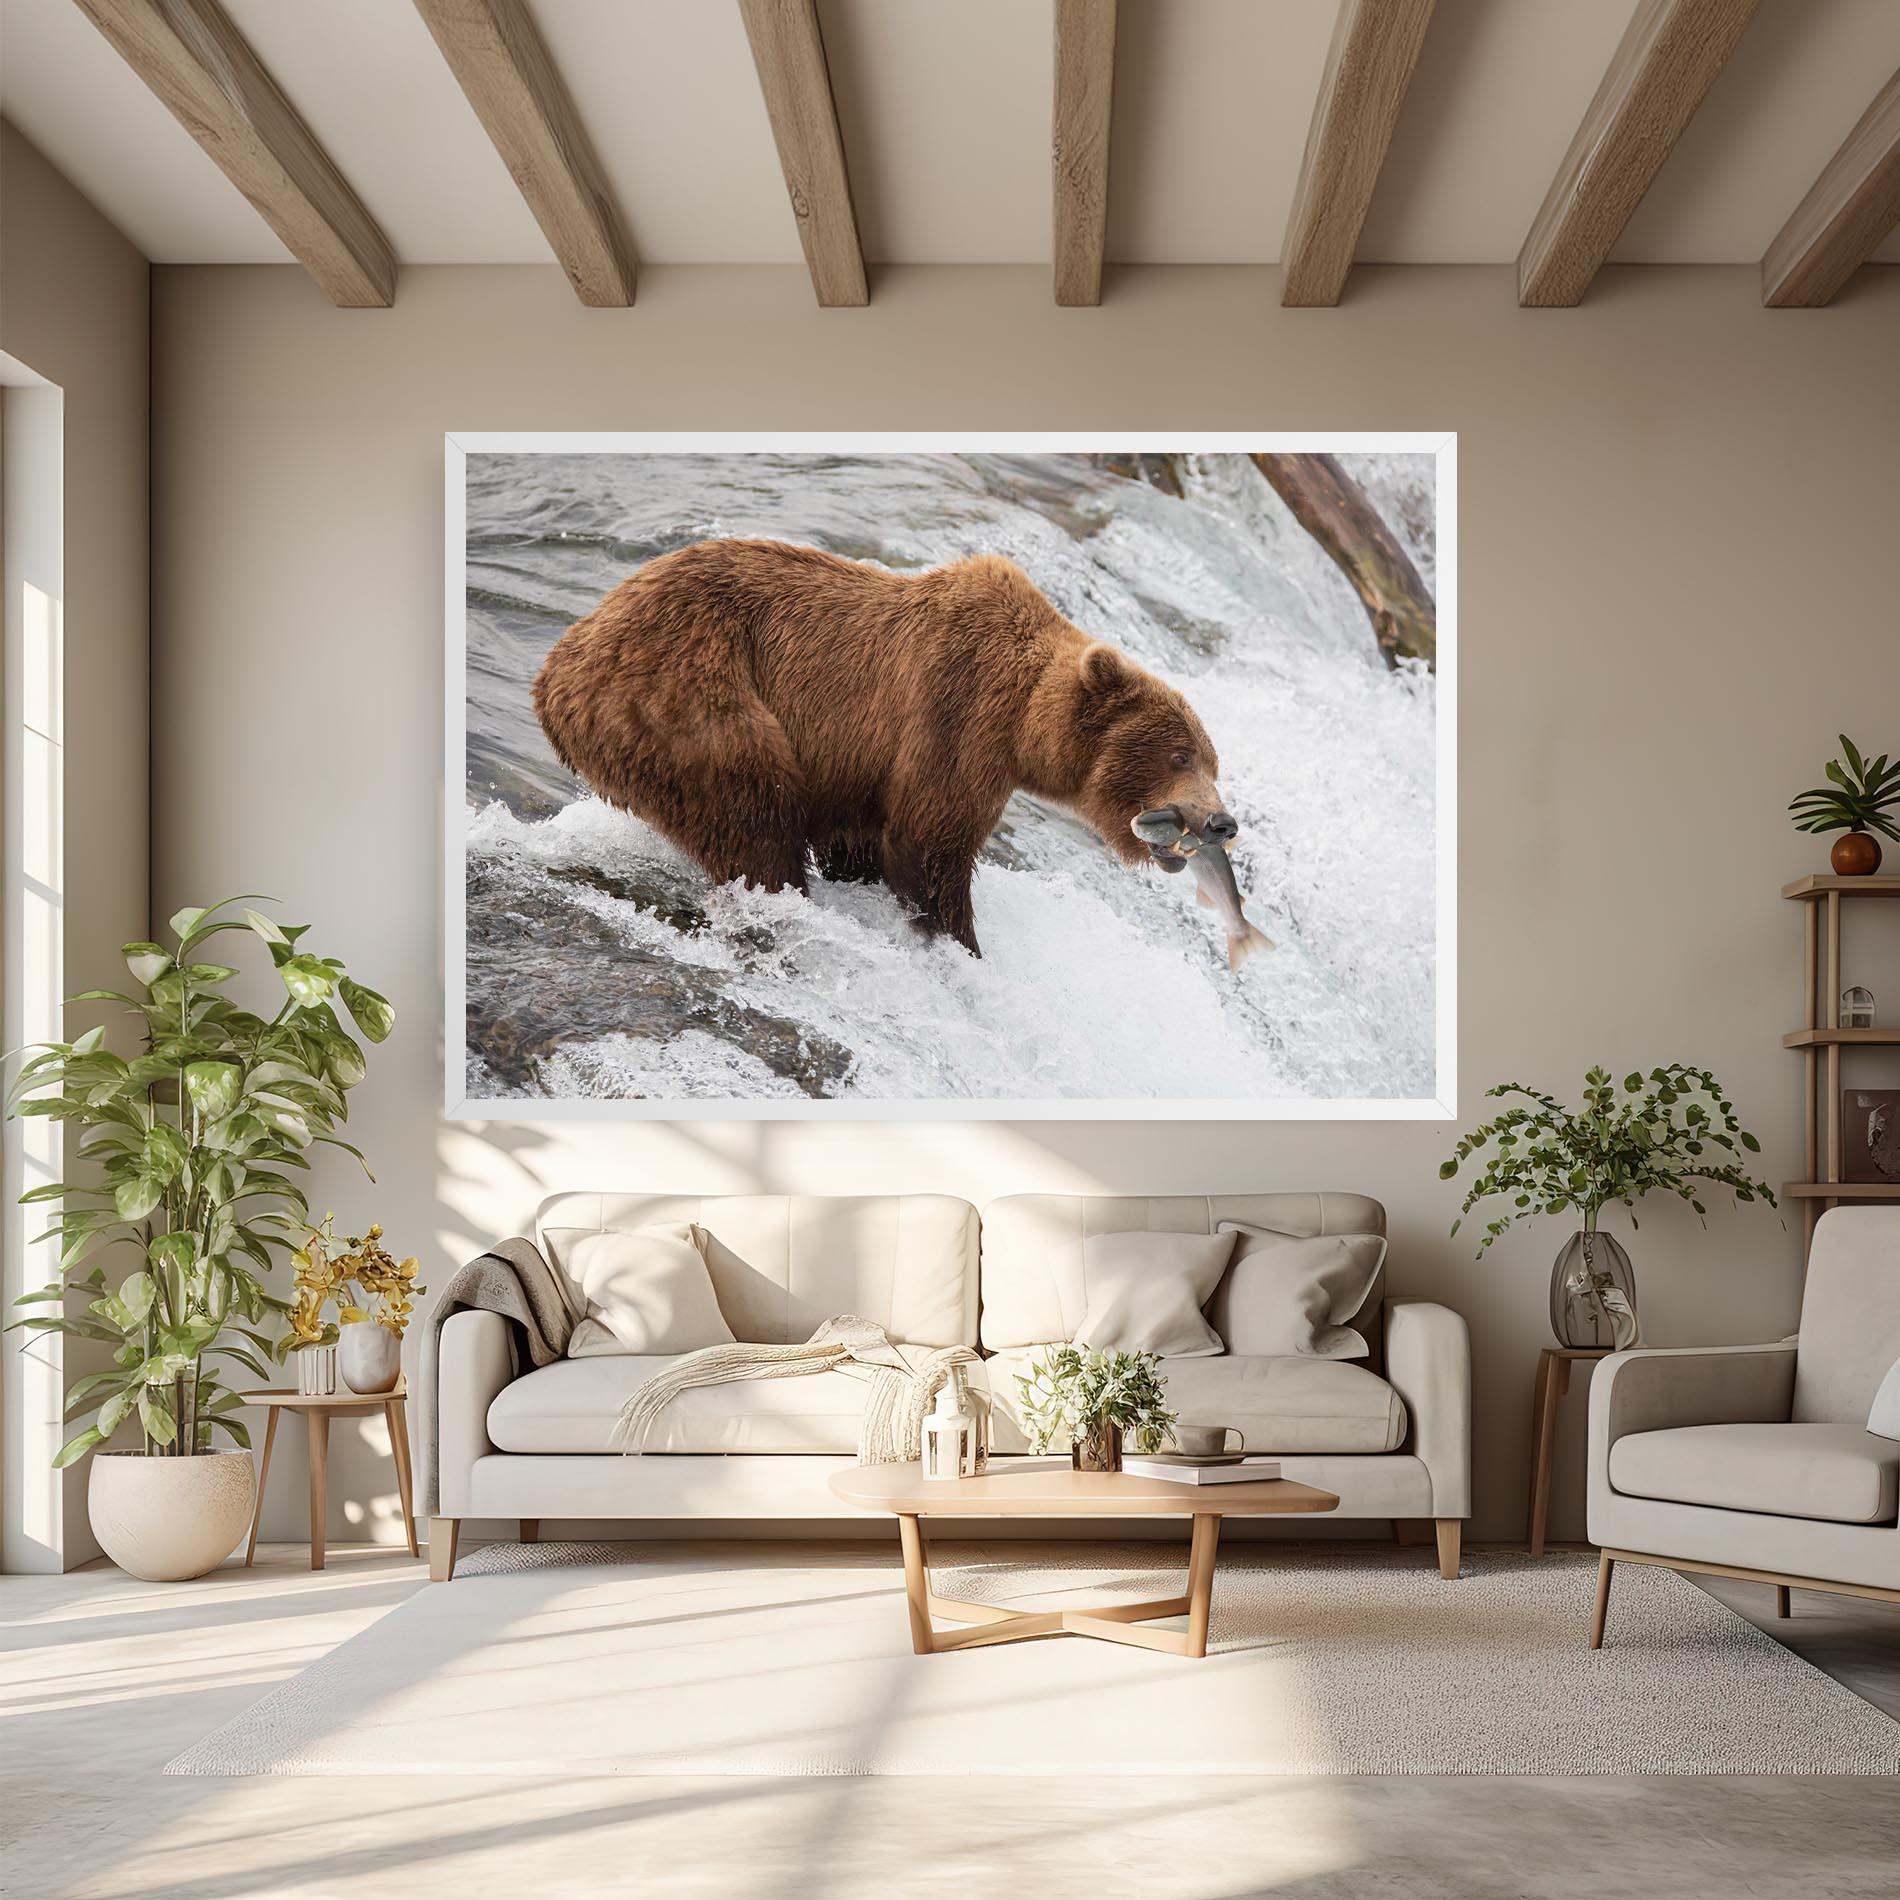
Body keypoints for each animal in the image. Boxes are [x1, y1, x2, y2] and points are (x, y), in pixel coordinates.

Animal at [532, 538, 1239, 957]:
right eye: (1180, 755)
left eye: (1213, 761)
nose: (1221, 822)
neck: (1023, 722)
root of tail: (558, 666)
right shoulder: (955, 715)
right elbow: (929, 844)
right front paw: (959, 943)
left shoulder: (860, 769)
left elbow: (864, 841)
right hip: (688, 695)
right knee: (753, 813)